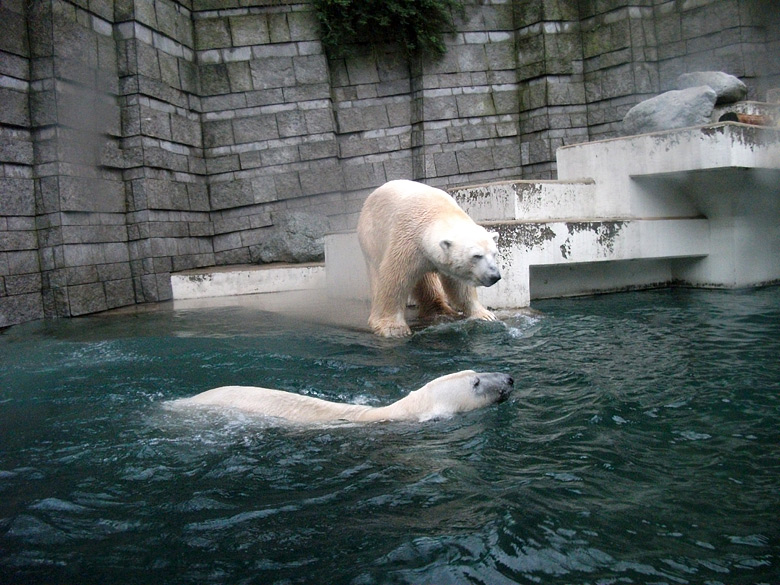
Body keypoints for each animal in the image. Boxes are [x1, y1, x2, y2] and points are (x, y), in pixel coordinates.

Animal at [358, 180, 502, 340]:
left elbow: (458, 285)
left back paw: (440, 310)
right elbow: (395, 278)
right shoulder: (407, 241)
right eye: (476, 256)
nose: (494, 276)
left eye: (494, 253)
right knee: (378, 275)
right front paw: (394, 328)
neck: (438, 211)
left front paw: (485, 315)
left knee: (427, 282)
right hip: (372, 237)